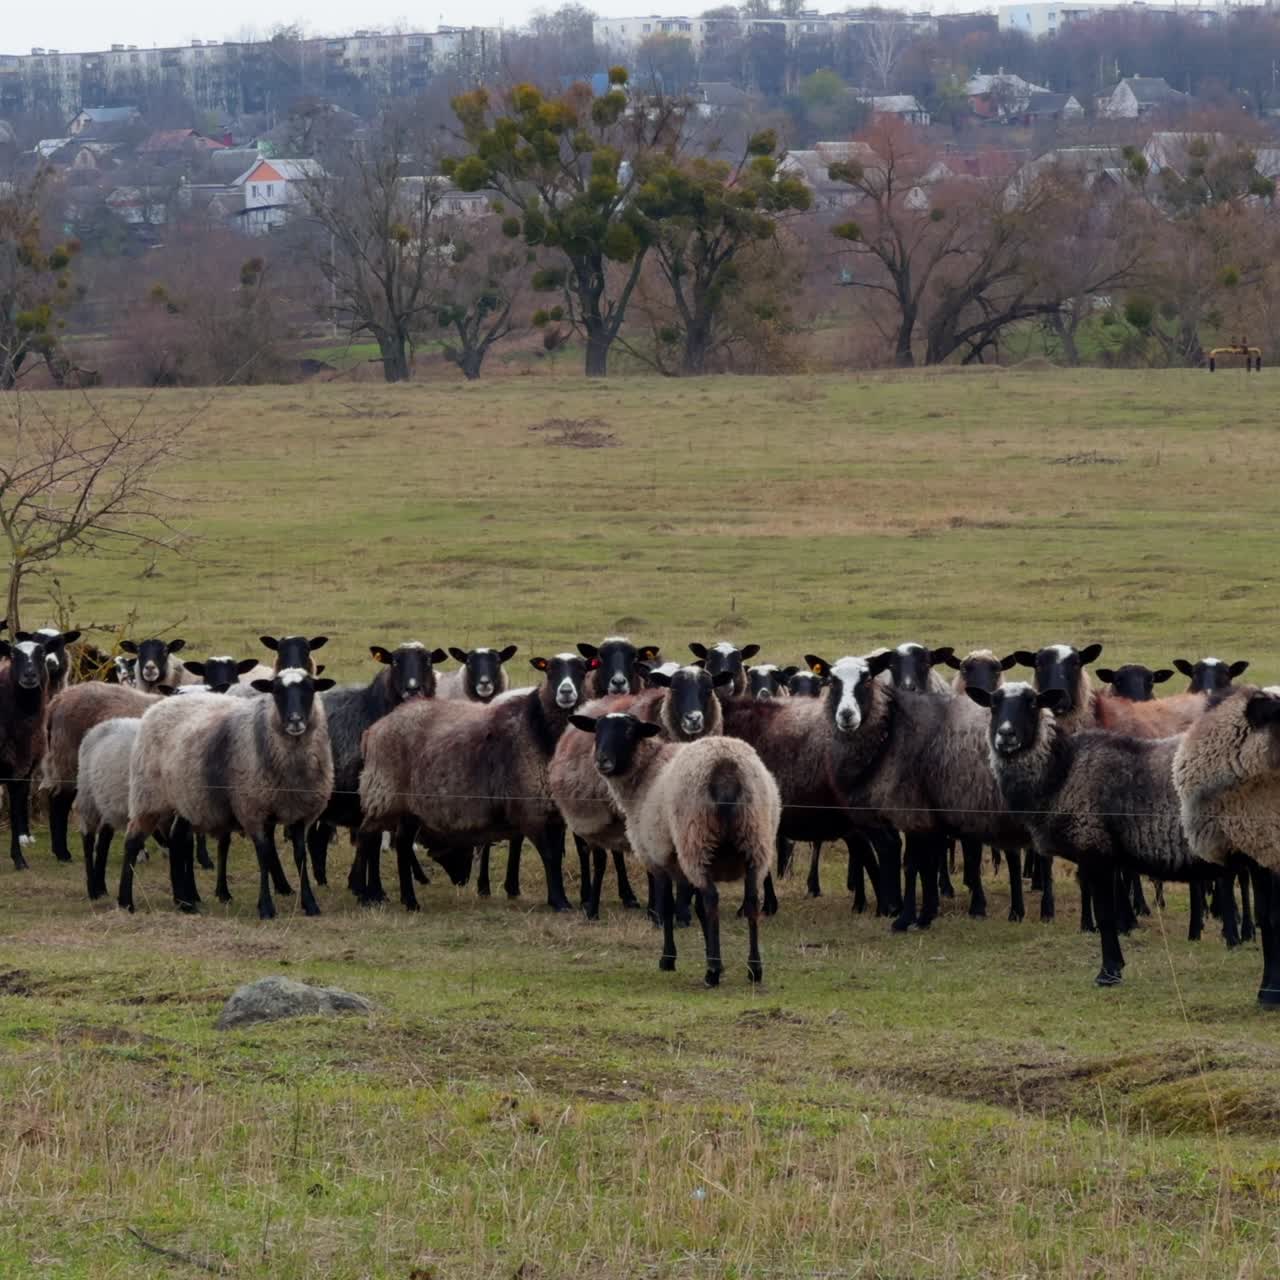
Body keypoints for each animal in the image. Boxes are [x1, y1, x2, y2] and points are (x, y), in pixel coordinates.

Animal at [122, 668, 336, 918]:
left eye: (310, 689)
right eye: (276, 691)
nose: (295, 721)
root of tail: (159, 704)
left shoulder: (301, 813)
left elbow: (300, 856)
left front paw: (310, 904)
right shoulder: (252, 809)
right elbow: (263, 855)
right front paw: (266, 907)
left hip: (186, 799)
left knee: (176, 840)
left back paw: (185, 902)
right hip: (148, 795)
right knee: (133, 841)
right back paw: (126, 902)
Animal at [359, 653, 591, 912]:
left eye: (582, 670)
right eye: (550, 671)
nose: (566, 692)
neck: (539, 731)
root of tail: (373, 730)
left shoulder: (553, 812)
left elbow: (555, 856)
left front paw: (557, 899)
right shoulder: (531, 808)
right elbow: (550, 856)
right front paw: (560, 902)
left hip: (408, 804)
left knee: (401, 843)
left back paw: (409, 901)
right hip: (383, 793)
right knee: (367, 837)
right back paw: (368, 895)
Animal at [550, 664, 733, 919]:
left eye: (709, 689)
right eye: (674, 688)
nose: (693, 719)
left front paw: (687, 908)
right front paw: (658, 910)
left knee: (616, 853)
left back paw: (628, 896)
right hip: (588, 809)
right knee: (587, 850)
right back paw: (588, 897)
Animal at [569, 711, 781, 986]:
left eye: (628, 731)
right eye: (596, 730)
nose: (602, 760)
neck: (646, 772)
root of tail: (725, 766)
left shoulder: (659, 856)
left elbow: (668, 907)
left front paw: (668, 959)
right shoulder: (680, 864)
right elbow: (697, 909)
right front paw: (710, 953)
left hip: (696, 840)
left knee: (712, 899)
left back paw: (712, 973)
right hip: (755, 839)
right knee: (752, 902)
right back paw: (754, 969)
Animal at [968, 681, 1228, 989]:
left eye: (1032, 703)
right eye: (993, 704)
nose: (1005, 735)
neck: (1062, 771)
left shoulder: (1095, 848)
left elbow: (1105, 914)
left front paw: (1109, 972)